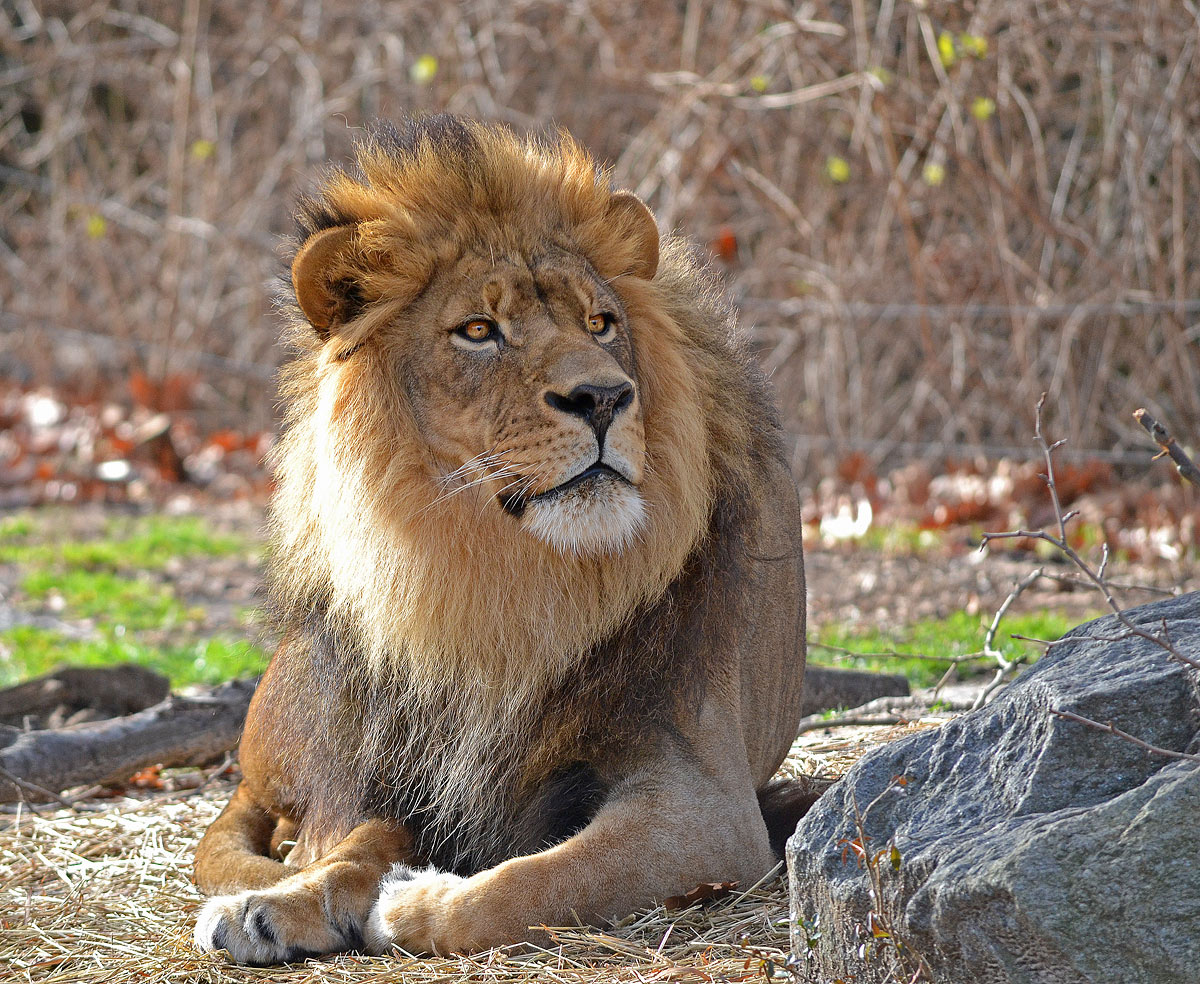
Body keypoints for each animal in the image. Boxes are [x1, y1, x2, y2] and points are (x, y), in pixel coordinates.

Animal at [192, 114, 815, 964]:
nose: (604, 397)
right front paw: (278, 902)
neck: (500, 584)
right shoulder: (398, 767)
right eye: (479, 332)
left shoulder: (704, 804)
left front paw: (415, 905)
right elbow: (353, 845)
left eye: (600, 323)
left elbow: (547, 876)